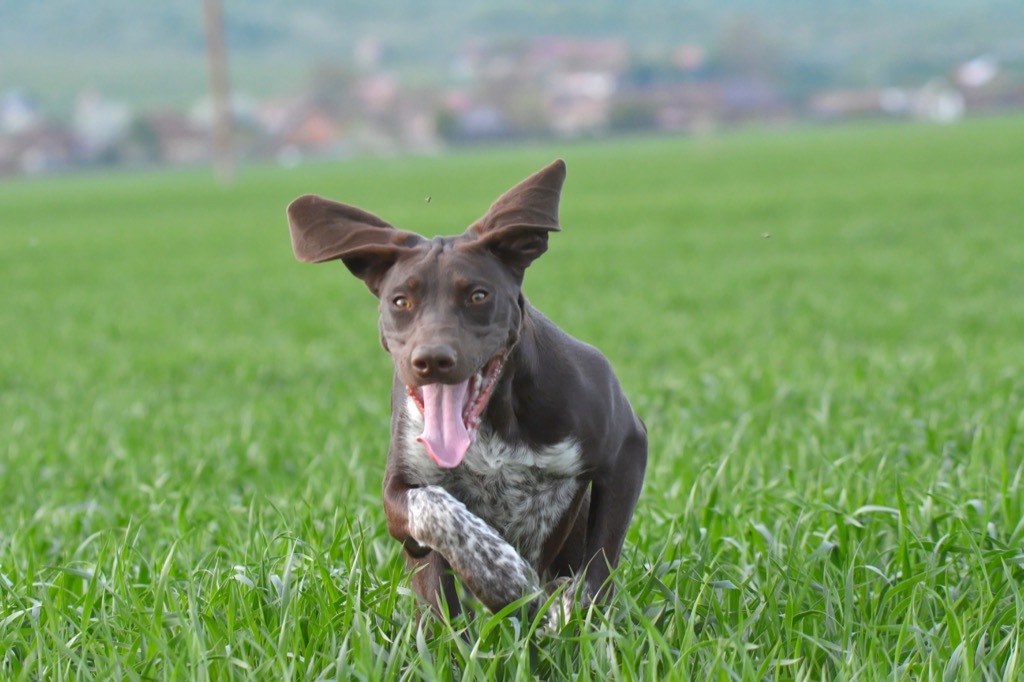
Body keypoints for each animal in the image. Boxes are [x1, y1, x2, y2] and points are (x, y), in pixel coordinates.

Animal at [284, 159, 643, 622]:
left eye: (478, 295)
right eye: (400, 301)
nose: (432, 359)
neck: (493, 427)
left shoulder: (628, 445)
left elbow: (599, 565)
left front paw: (573, 617)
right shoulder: (398, 490)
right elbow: (436, 509)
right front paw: (503, 577)